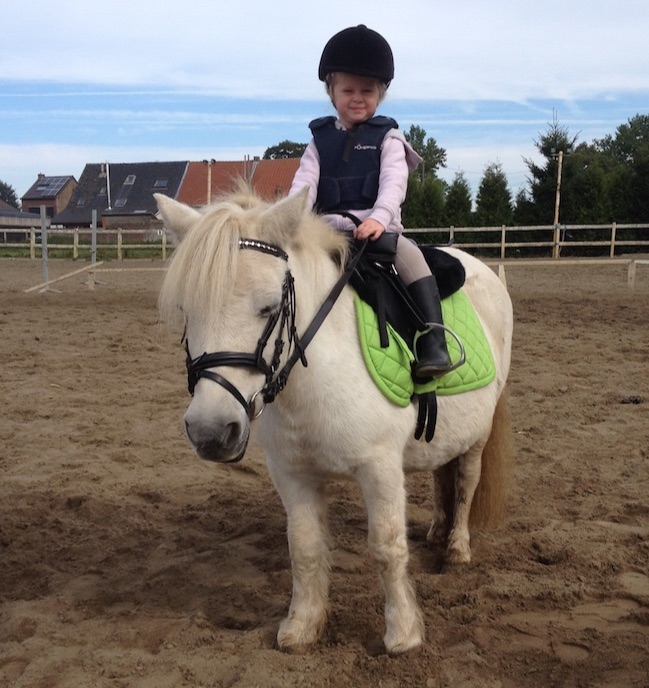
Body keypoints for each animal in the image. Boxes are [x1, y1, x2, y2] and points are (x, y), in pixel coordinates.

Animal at [155, 187, 514, 655]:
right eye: (186, 309)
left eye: (269, 306)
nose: (211, 432)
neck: (312, 377)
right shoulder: (292, 473)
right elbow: (304, 548)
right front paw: (303, 627)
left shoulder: (380, 468)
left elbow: (387, 546)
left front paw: (402, 634)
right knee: (442, 474)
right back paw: (438, 531)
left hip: (479, 434)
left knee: (467, 483)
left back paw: (456, 549)